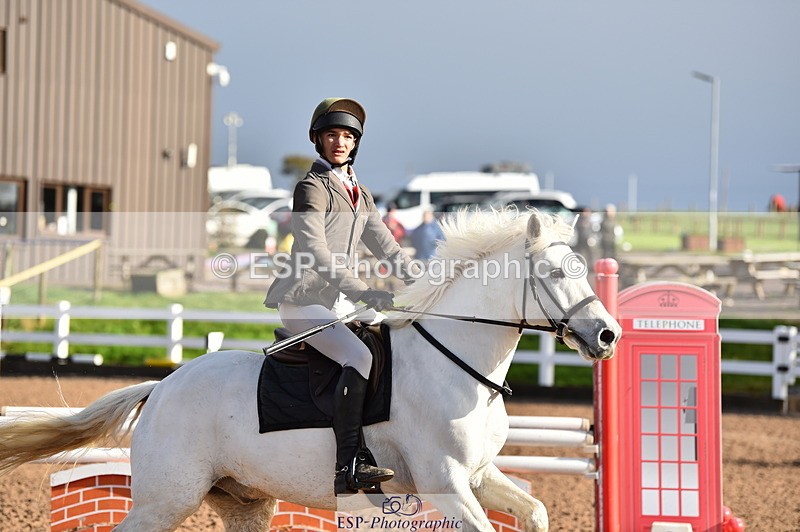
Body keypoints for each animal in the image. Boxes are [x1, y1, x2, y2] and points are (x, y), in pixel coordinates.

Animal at [0, 209, 621, 532]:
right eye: (552, 272)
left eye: (581, 266)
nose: (608, 336)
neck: (458, 361)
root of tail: (162, 387)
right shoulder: (446, 483)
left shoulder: (478, 475)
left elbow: (535, 509)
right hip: (165, 500)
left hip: (244, 502)